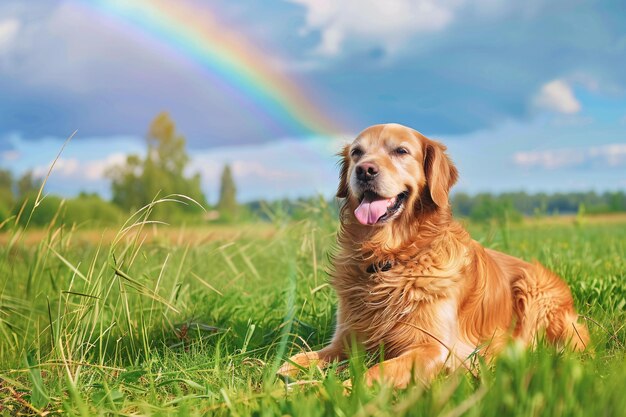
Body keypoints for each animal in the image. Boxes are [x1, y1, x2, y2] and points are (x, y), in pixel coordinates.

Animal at [280, 122, 588, 386]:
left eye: (401, 151)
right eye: (357, 153)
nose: (364, 170)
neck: (389, 258)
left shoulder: (435, 348)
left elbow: (376, 371)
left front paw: (332, 391)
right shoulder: (344, 339)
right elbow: (298, 359)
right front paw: (279, 380)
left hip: (533, 288)